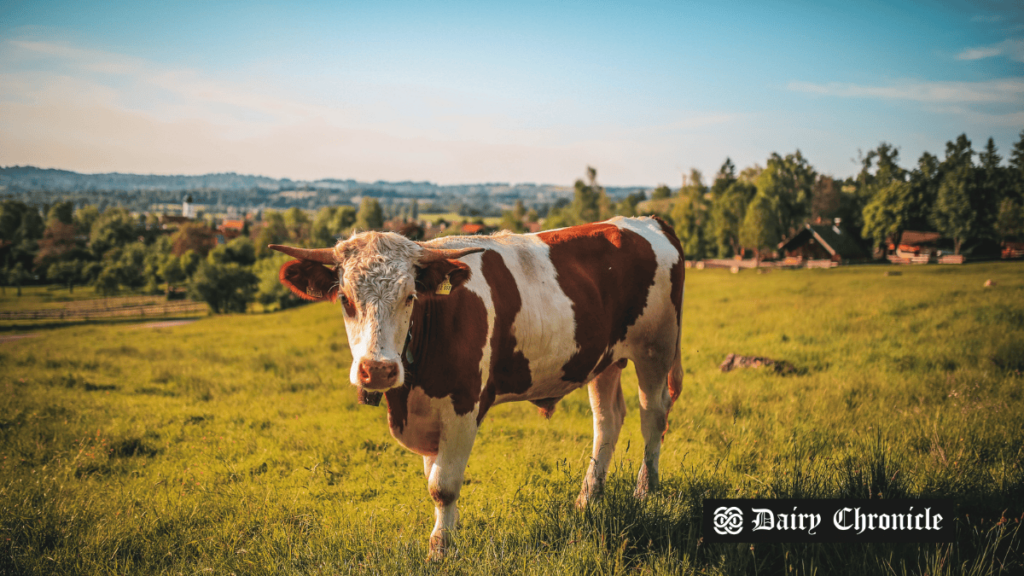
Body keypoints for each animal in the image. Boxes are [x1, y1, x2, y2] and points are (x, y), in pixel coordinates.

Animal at [272, 214, 688, 557]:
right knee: (608, 421)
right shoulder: (429, 417)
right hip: (604, 359)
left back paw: (645, 490)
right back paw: (587, 499)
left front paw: (440, 549)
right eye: (345, 299)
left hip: (656, 347)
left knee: (653, 415)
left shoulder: (463, 406)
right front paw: (446, 535)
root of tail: (647, 221)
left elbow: (443, 485)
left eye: (410, 297)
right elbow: (434, 477)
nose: (378, 370)